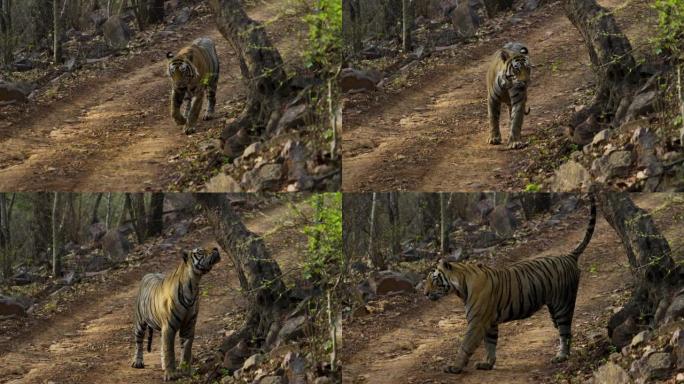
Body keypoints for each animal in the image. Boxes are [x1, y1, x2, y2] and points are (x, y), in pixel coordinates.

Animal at [132, 246, 222, 380]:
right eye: (200, 251)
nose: (216, 248)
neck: (193, 285)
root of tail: (149, 273)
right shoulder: (169, 327)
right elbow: (169, 351)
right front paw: (171, 374)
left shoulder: (188, 326)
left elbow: (186, 350)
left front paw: (185, 370)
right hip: (140, 321)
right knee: (139, 341)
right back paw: (138, 361)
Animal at [424, 194, 596, 374]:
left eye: (434, 280)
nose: (425, 293)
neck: (461, 286)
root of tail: (569, 256)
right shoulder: (490, 322)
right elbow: (490, 344)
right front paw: (488, 363)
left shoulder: (477, 322)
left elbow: (465, 346)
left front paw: (455, 367)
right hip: (553, 308)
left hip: (563, 304)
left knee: (565, 331)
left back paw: (561, 356)